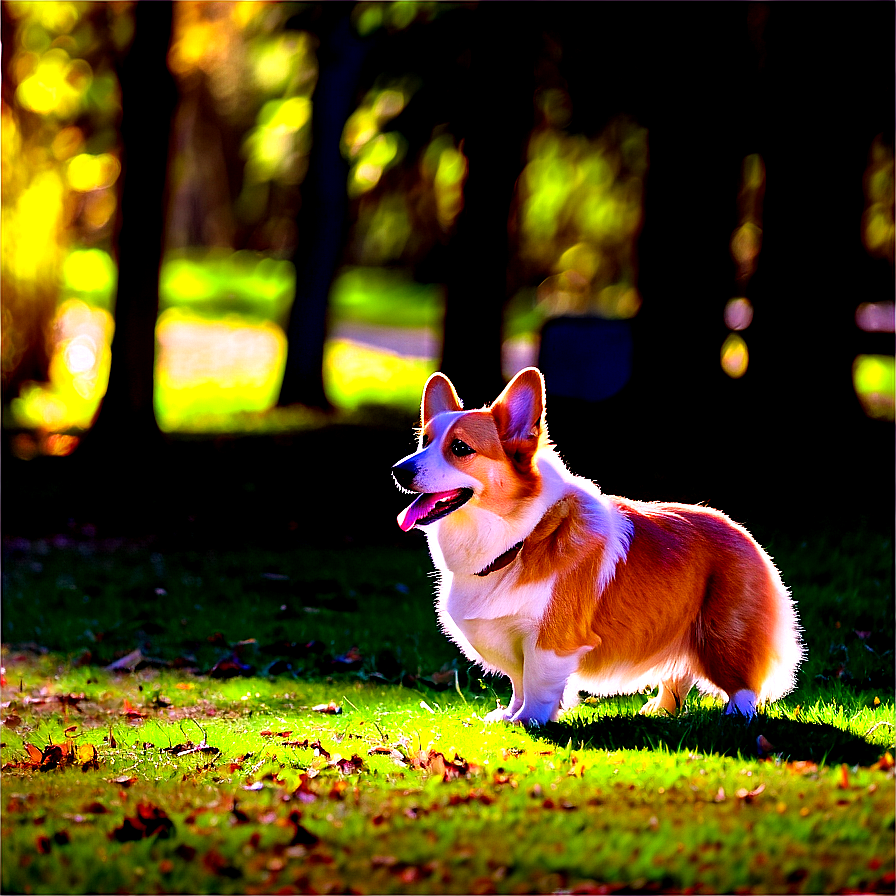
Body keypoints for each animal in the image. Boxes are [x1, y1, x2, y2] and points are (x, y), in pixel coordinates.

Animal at [392, 368, 804, 724]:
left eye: (461, 448)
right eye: (425, 441)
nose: (398, 470)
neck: (518, 541)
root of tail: (743, 533)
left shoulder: (550, 642)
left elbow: (537, 684)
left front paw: (530, 722)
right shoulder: (510, 643)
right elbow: (518, 681)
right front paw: (508, 716)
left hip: (723, 633)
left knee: (743, 685)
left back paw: (735, 715)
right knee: (678, 673)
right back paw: (659, 709)